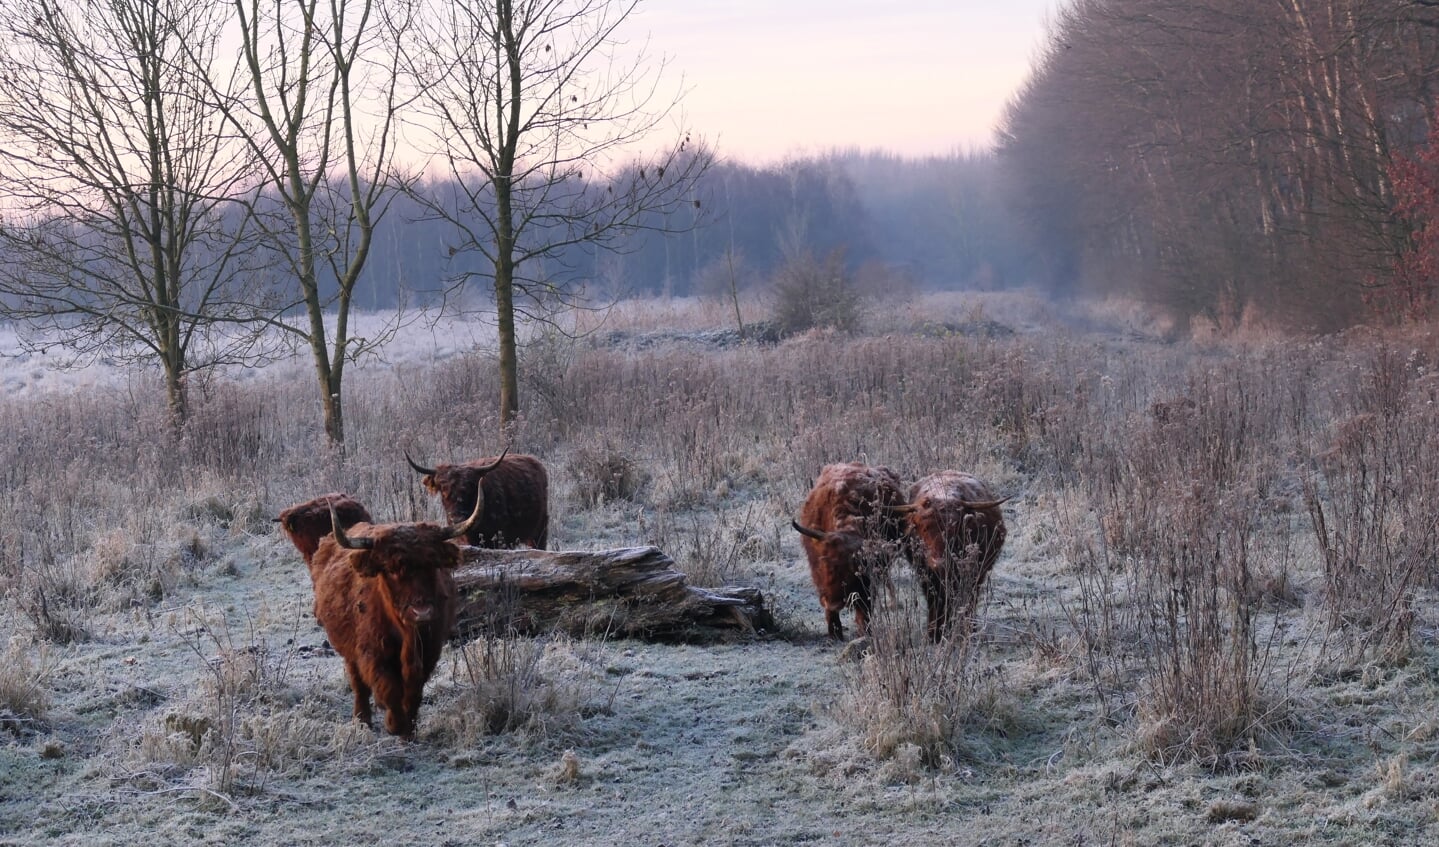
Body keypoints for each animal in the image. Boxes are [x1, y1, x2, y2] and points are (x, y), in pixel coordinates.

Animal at [794, 465, 903, 638]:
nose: (833, 603)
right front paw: (835, 632)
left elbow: (864, 607)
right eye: (824, 563)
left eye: (854, 570)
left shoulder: (869, 579)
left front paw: (864, 632)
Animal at [897, 468, 1013, 641]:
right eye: (923, 528)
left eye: (955, 528)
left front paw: (962, 629)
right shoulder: (925, 573)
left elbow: (964, 598)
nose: (939, 562)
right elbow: (935, 600)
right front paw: (934, 633)